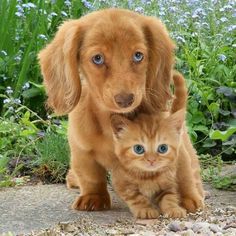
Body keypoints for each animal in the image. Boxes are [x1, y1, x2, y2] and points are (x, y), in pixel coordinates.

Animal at [109, 73, 204, 218]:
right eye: (138, 149)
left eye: (162, 148)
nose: (152, 160)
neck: (148, 176)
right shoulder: (122, 182)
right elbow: (136, 197)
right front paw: (145, 209)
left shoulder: (169, 183)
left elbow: (169, 197)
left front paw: (173, 209)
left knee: (192, 174)